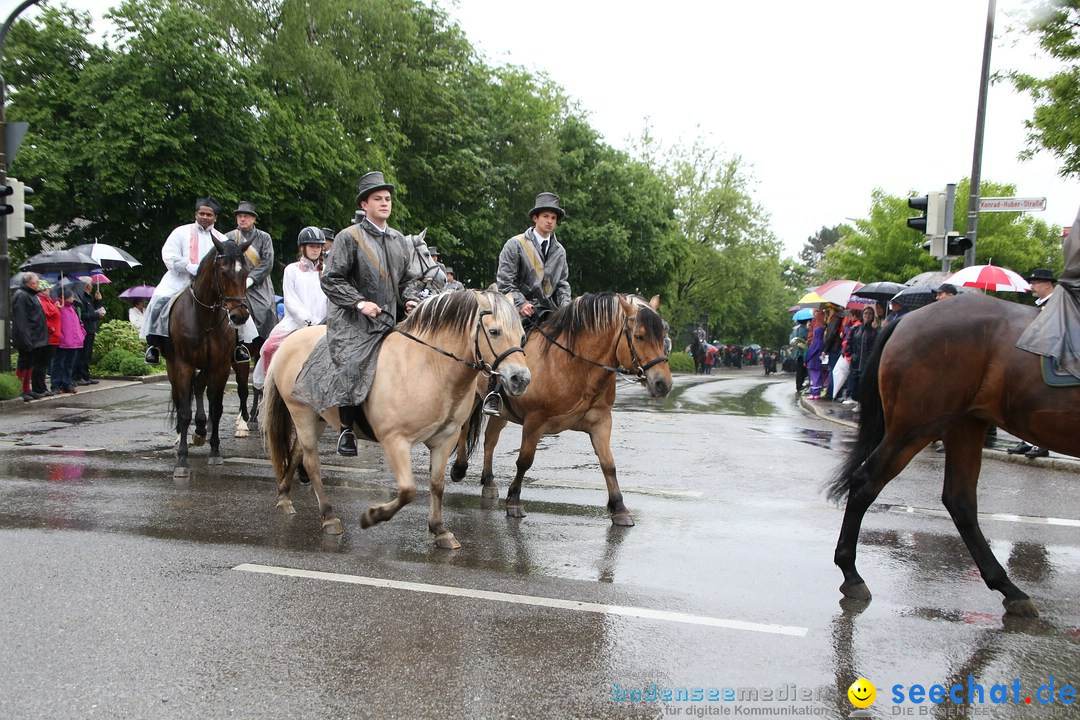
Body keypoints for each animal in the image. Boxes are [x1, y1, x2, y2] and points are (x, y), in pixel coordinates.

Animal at [163, 236, 251, 479]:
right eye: (223, 272)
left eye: (245, 271)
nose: (239, 316)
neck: (205, 320)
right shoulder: (183, 365)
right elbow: (184, 412)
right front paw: (182, 462)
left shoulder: (220, 366)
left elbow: (217, 407)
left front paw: (215, 450)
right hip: (173, 366)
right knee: (182, 397)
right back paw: (182, 435)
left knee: (200, 387)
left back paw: (202, 429)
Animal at [261, 289, 531, 548]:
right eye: (494, 331)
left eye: (522, 336)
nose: (521, 379)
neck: (430, 368)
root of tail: (289, 342)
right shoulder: (395, 441)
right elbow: (408, 491)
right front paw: (372, 516)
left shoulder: (445, 439)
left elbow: (437, 485)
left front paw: (439, 531)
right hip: (302, 415)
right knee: (312, 464)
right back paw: (329, 517)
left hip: (317, 417)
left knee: (297, 452)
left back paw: (284, 497)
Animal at [449, 291, 669, 524]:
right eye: (639, 336)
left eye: (664, 334)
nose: (663, 383)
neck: (574, 365)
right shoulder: (535, 422)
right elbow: (524, 461)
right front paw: (515, 501)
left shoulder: (601, 422)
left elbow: (608, 464)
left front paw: (619, 507)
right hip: (471, 397)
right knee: (464, 429)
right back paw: (459, 469)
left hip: (502, 412)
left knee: (490, 440)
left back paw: (489, 481)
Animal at [825, 293, 1080, 621]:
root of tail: (906, 319)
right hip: (919, 426)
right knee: (865, 482)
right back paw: (852, 575)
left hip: (964, 424)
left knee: (960, 501)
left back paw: (1008, 589)